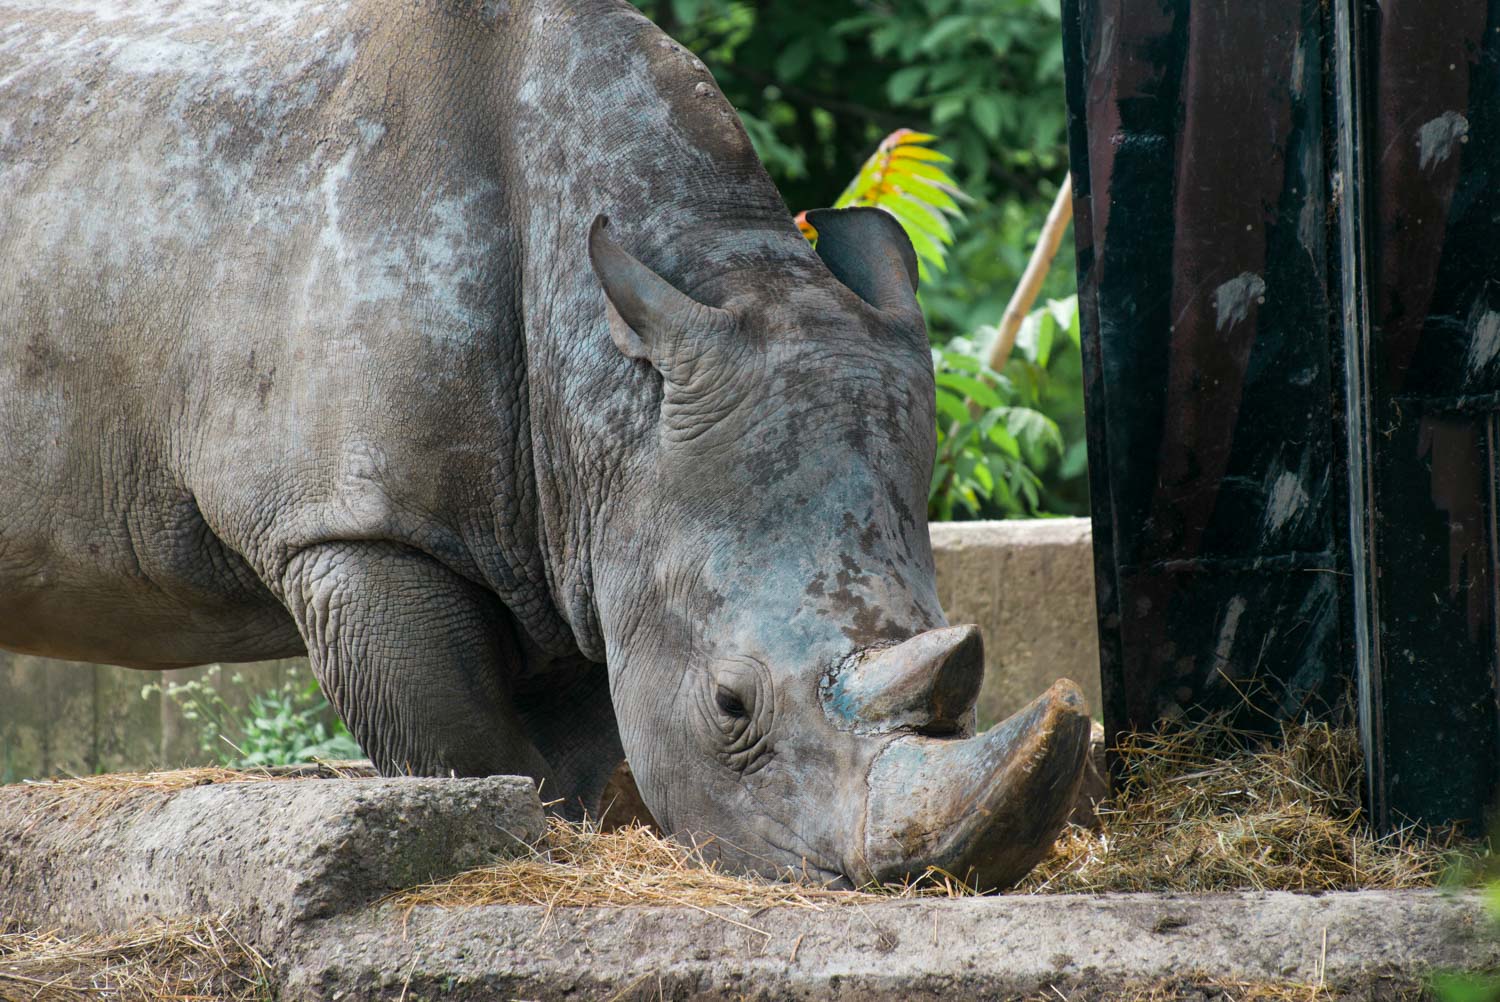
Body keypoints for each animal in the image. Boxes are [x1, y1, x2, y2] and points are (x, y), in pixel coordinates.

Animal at [0, 0, 1091, 888]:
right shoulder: (349, 526)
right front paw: (503, 841)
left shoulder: (589, 530)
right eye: (731, 705)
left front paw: (567, 833)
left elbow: (580, 750)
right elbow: (469, 748)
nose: (889, 885)